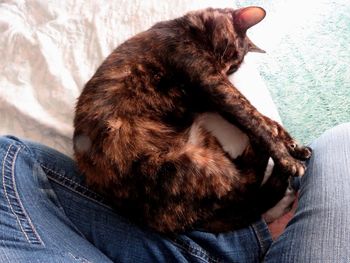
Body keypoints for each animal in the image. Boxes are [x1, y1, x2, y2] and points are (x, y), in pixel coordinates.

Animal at [73, 5, 312, 233]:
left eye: (234, 67)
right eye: (231, 54)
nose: (225, 70)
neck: (188, 27)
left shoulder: (209, 97)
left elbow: (263, 118)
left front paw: (294, 146)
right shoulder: (212, 82)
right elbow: (253, 118)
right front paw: (288, 158)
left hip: (203, 140)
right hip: (188, 164)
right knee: (244, 186)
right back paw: (278, 169)